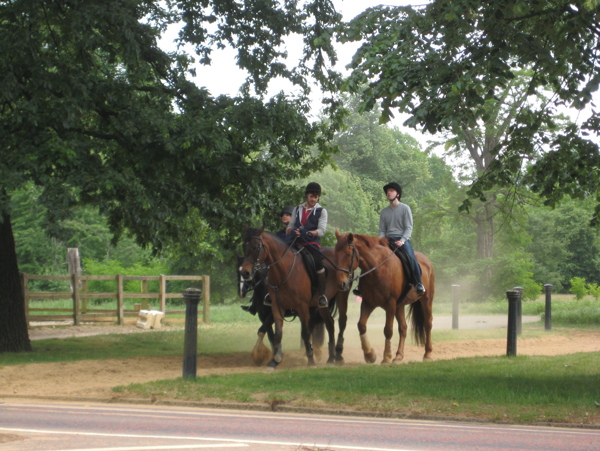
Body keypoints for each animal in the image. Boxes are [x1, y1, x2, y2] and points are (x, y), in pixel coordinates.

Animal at [240, 228, 350, 370]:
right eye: (244, 246)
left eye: (255, 247)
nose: (245, 273)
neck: (284, 272)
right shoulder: (276, 308)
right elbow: (275, 333)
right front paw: (275, 360)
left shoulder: (301, 307)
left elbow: (305, 332)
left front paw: (310, 359)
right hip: (322, 306)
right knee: (330, 324)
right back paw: (330, 358)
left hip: (341, 295)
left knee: (340, 322)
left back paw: (337, 356)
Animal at [332, 231, 436, 366]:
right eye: (335, 255)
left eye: (348, 254)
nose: (341, 284)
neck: (377, 268)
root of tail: (427, 261)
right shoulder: (368, 303)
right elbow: (361, 325)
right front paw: (370, 355)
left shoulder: (390, 304)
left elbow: (388, 330)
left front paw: (386, 357)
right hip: (400, 306)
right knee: (403, 328)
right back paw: (398, 356)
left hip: (426, 300)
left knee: (428, 324)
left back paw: (427, 354)